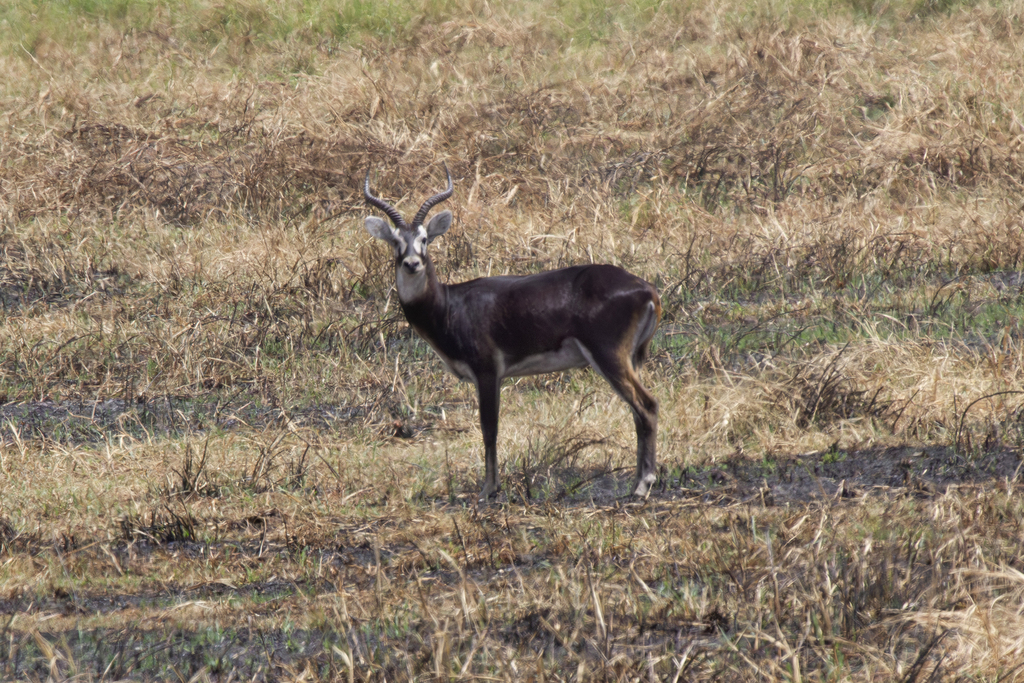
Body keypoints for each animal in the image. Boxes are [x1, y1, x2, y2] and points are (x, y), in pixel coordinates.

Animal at [364, 164, 659, 497]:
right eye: (395, 241)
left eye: (425, 238)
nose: (412, 264)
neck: (449, 306)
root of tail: (647, 289)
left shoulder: (487, 371)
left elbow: (489, 428)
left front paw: (488, 490)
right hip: (631, 360)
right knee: (638, 412)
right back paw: (637, 482)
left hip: (610, 357)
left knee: (647, 406)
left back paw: (643, 485)